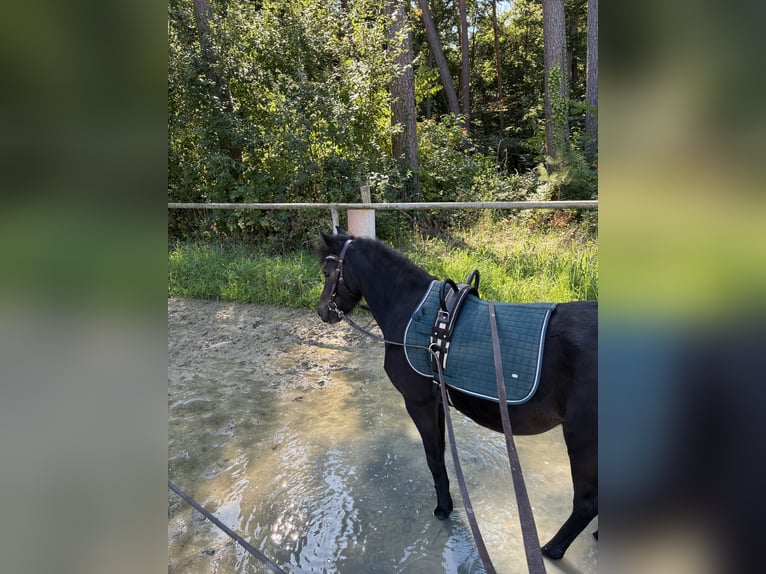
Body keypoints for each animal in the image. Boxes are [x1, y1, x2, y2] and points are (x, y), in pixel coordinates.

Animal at [316, 229, 597, 561]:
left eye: (327, 272)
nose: (322, 311)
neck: (412, 310)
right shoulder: (436, 403)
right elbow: (440, 452)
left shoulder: (419, 404)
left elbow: (434, 458)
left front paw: (443, 508)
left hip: (583, 440)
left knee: (586, 504)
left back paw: (552, 549)